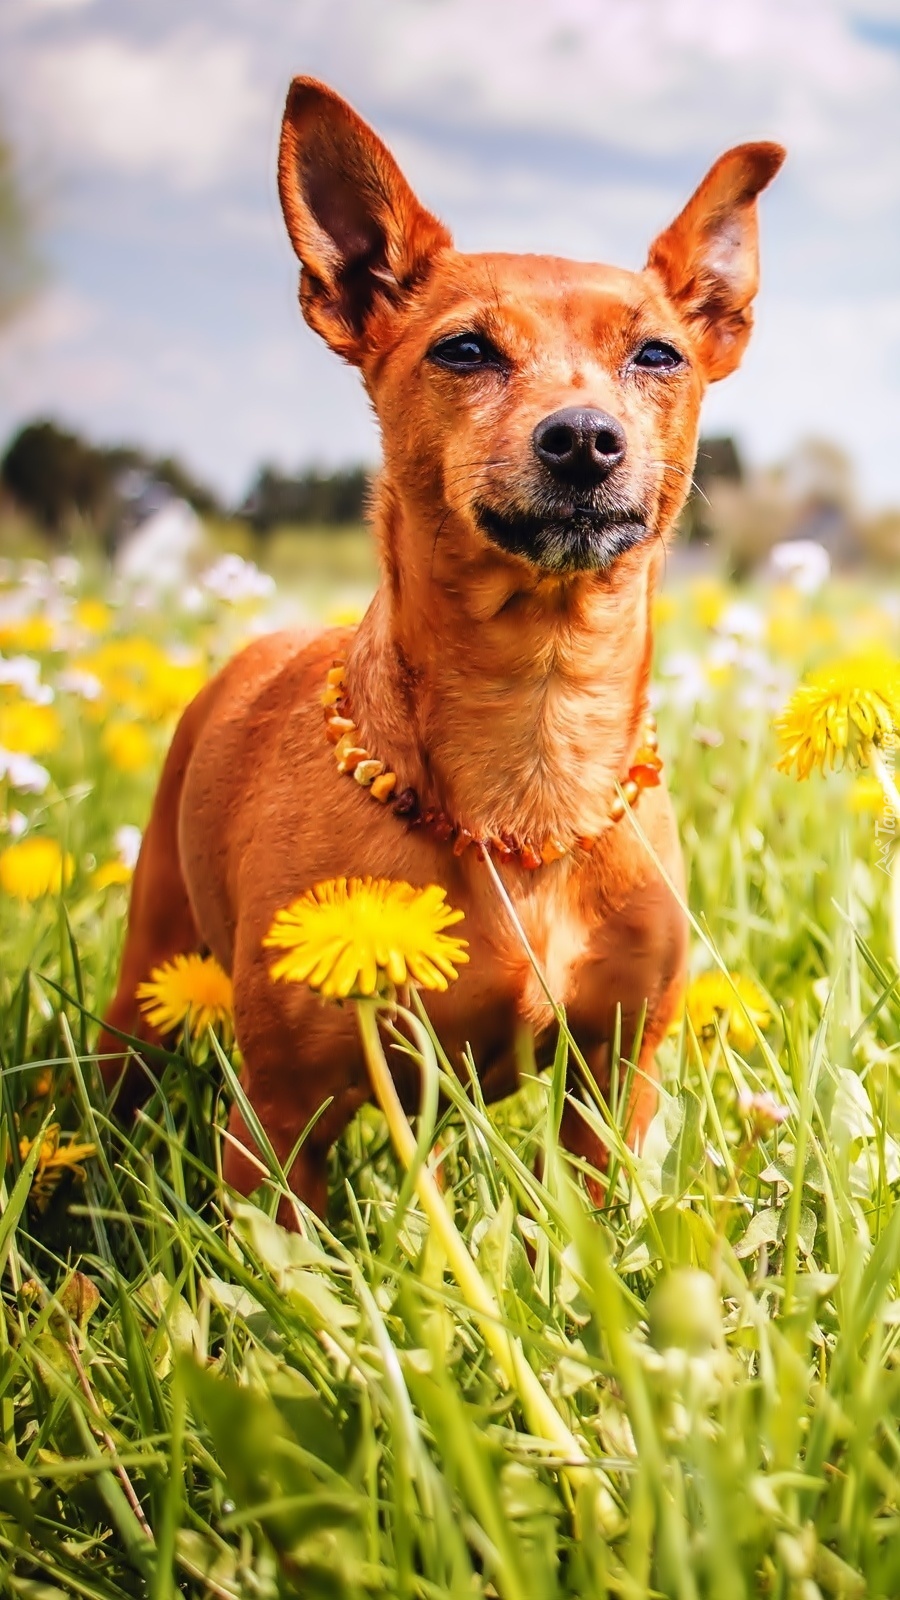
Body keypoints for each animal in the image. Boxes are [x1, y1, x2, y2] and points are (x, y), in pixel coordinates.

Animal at [96, 81, 778, 1216]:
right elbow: (287, 1255)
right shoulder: (281, 1119)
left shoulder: (615, 1081)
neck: (538, 732)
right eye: (464, 350)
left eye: (658, 355)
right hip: (145, 979)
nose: (584, 437)